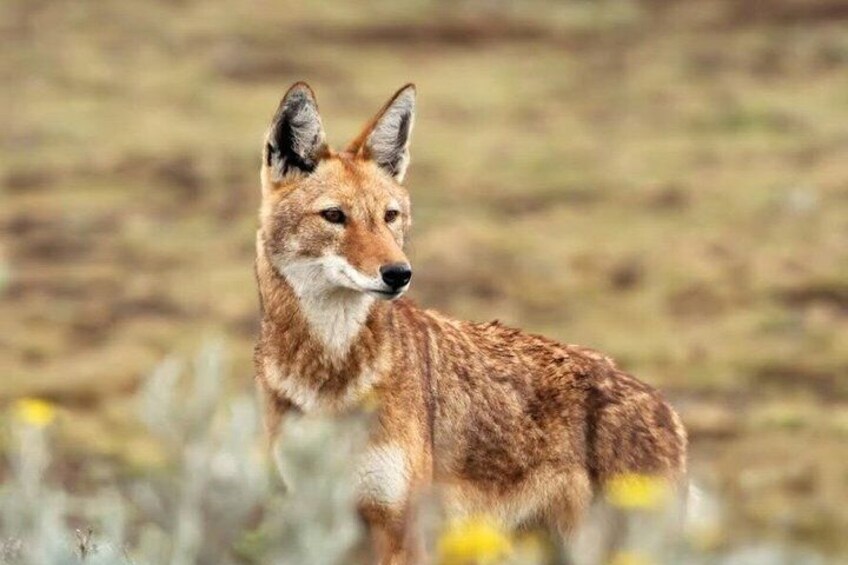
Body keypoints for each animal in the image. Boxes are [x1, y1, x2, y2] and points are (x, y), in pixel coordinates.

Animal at [253, 82, 687, 564]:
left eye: (389, 216)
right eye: (334, 216)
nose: (399, 273)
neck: (329, 378)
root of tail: (665, 405)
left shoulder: (401, 533)